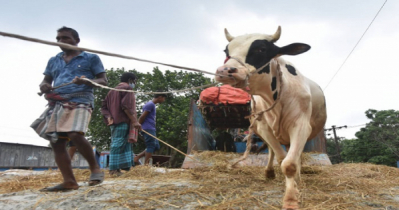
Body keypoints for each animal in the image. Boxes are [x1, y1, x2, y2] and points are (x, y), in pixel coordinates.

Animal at [216, 26, 328, 210]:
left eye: (261, 49)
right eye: (226, 51)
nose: (224, 71)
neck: (275, 99)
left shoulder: (301, 126)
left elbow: (290, 163)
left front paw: (291, 199)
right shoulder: (264, 128)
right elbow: (281, 158)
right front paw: (289, 191)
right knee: (271, 152)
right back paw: (269, 172)